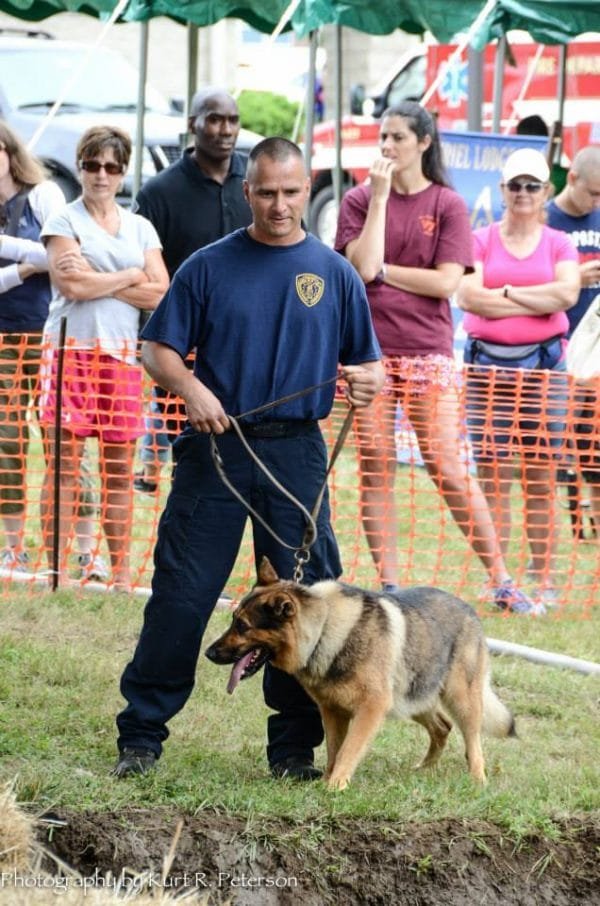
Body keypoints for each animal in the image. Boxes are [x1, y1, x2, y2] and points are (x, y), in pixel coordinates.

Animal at [206, 556, 516, 788]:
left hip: (459, 699)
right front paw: (327, 781)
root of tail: (469, 609)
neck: (325, 628)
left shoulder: (371, 708)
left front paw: (335, 787)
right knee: (442, 726)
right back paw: (423, 769)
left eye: (243, 626)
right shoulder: (333, 712)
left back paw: (478, 779)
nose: (209, 653)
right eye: (233, 619)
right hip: (409, 697)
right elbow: (334, 751)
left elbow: (349, 750)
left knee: (472, 741)